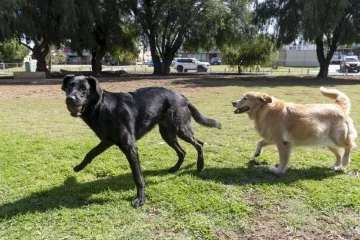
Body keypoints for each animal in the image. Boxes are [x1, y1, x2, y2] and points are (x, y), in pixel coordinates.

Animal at [61, 74, 219, 206]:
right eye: (69, 88)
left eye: (83, 89)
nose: (70, 99)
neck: (101, 107)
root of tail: (181, 96)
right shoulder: (107, 141)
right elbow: (91, 153)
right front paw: (79, 167)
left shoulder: (130, 147)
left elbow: (138, 176)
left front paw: (140, 199)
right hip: (167, 134)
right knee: (183, 151)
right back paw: (175, 168)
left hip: (181, 129)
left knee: (199, 144)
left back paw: (200, 165)